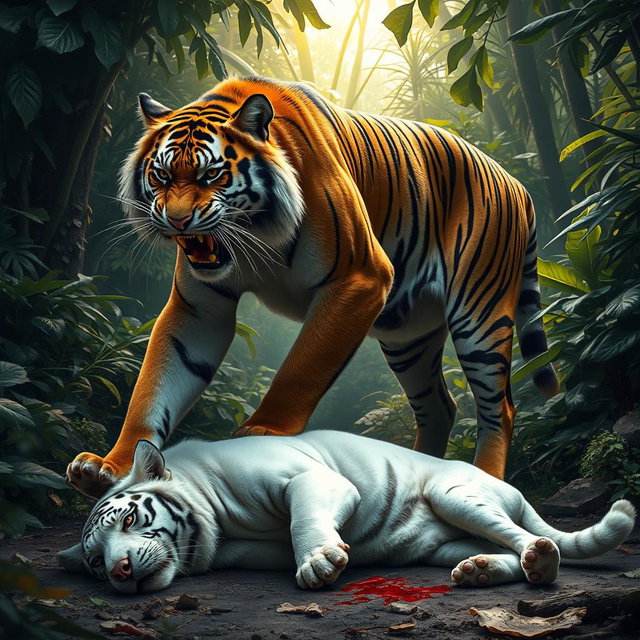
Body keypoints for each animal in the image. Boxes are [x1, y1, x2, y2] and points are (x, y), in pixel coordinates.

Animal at [59, 431, 636, 594]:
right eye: (94, 564)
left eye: (129, 521)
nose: (119, 571)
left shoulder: (313, 480)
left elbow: (302, 519)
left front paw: (319, 562)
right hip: (446, 543)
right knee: (504, 551)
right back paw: (476, 572)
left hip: (456, 494)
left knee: (528, 539)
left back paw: (540, 559)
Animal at [67, 75, 559, 498]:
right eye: (162, 176)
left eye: (212, 175)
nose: (178, 220)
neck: (253, 235)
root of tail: (517, 182)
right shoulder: (199, 308)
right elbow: (154, 387)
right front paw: (111, 466)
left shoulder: (360, 279)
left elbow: (300, 370)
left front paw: (261, 434)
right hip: (408, 335)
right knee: (439, 406)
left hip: (480, 315)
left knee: (499, 408)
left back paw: (486, 480)